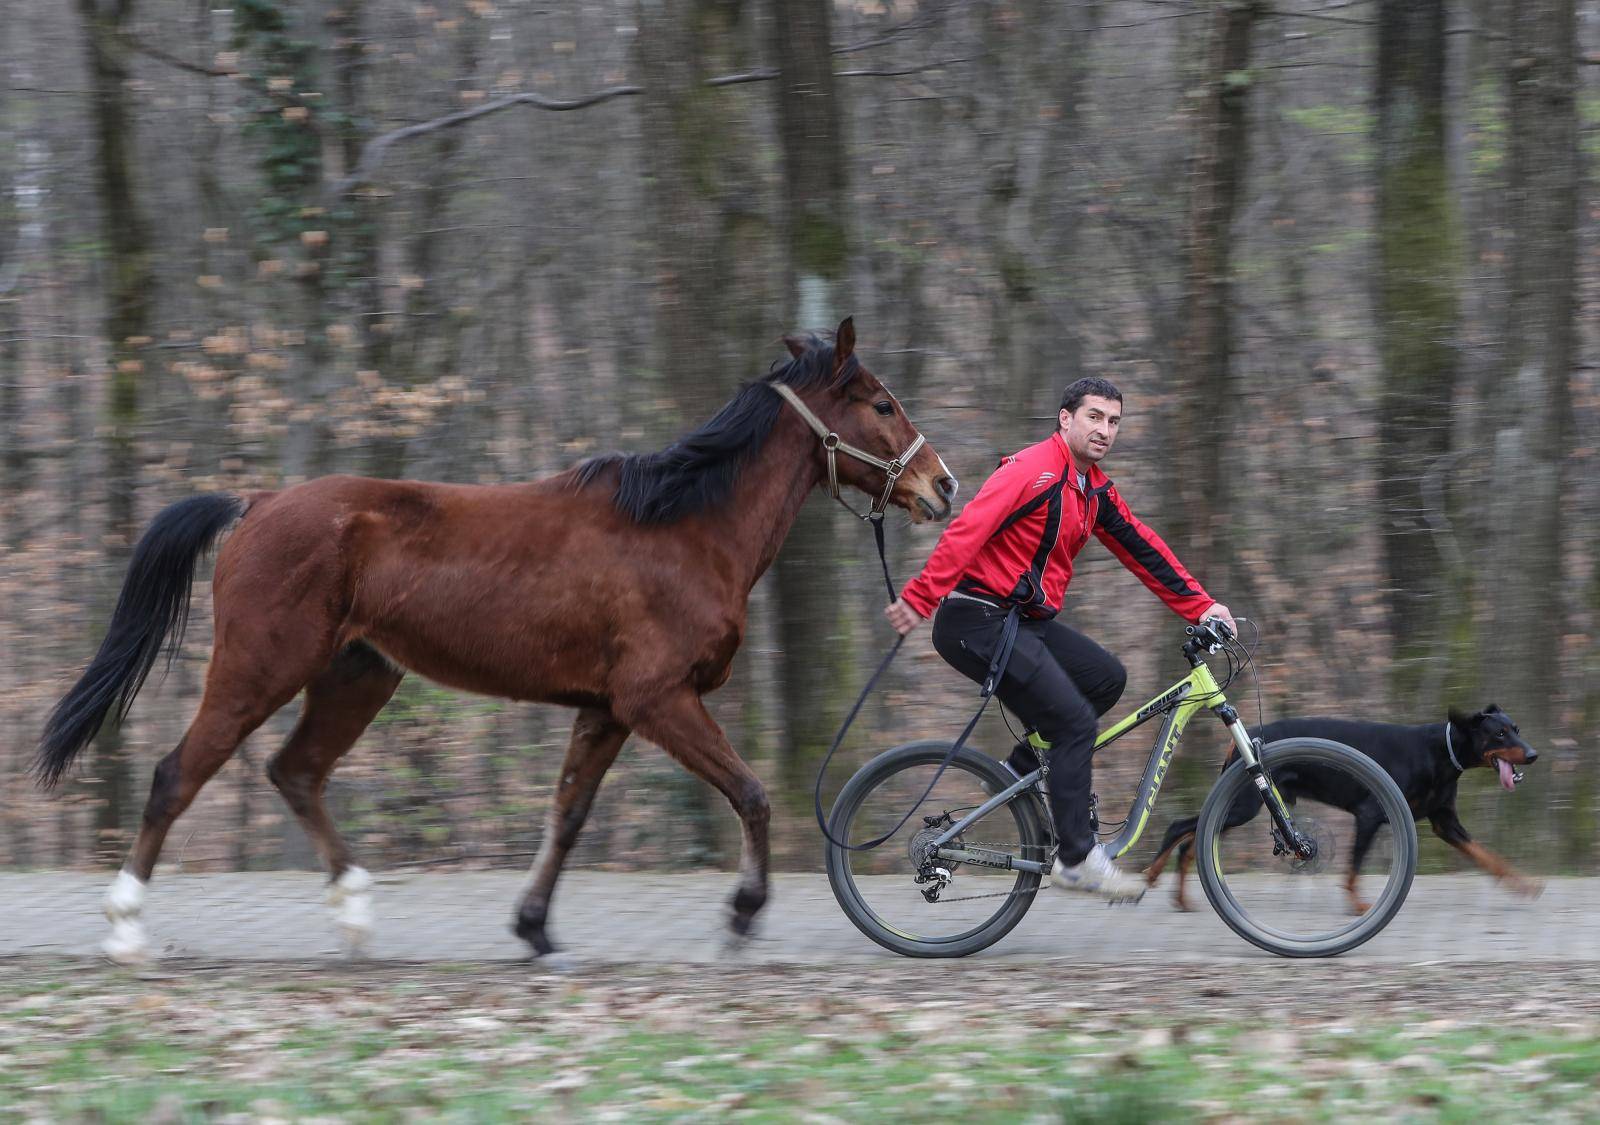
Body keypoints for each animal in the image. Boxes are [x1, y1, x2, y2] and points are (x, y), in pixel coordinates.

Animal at [37, 316, 953, 960]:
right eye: (881, 402)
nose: (940, 484)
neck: (684, 529)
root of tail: (255, 503)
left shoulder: (606, 709)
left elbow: (568, 815)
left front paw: (535, 927)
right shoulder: (657, 698)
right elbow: (751, 793)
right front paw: (740, 913)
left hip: (357, 675)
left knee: (295, 772)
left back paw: (357, 915)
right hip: (259, 668)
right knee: (177, 774)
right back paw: (125, 927)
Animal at [1152, 704, 1536, 915]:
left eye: (1516, 729)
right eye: (1499, 734)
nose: (1533, 754)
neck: (1439, 753)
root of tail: (1242, 742)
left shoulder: (1445, 821)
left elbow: (1487, 855)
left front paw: (1522, 884)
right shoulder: (1371, 814)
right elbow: (1352, 870)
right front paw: (1359, 907)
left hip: (1240, 808)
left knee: (1191, 841)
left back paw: (1179, 899)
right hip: (1242, 806)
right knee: (1178, 827)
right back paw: (1152, 875)